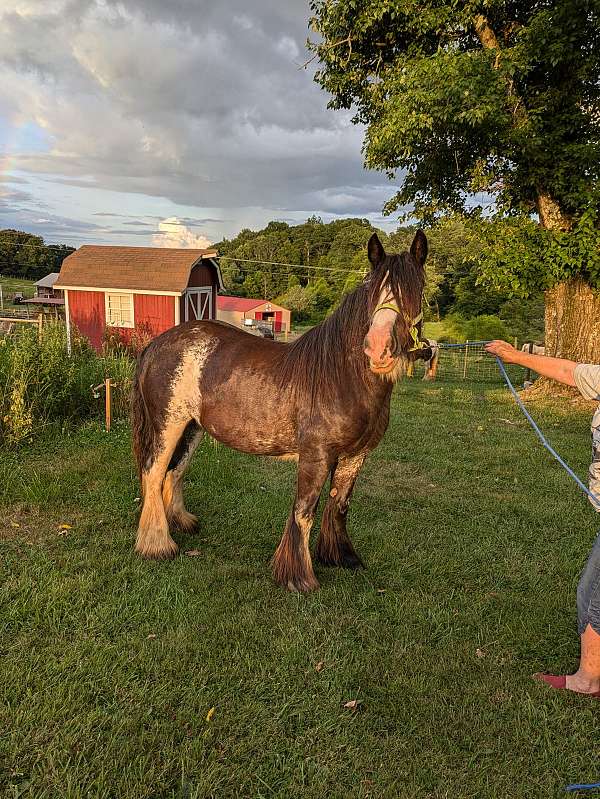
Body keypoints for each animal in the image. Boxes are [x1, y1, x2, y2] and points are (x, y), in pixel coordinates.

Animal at [131, 231, 432, 592]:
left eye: (416, 290)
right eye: (374, 291)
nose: (378, 349)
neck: (341, 376)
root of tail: (156, 345)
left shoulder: (355, 456)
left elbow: (339, 505)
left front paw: (341, 557)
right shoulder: (316, 455)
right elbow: (304, 510)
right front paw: (298, 576)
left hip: (192, 428)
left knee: (174, 472)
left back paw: (182, 524)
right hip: (168, 424)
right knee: (153, 471)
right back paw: (157, 545)